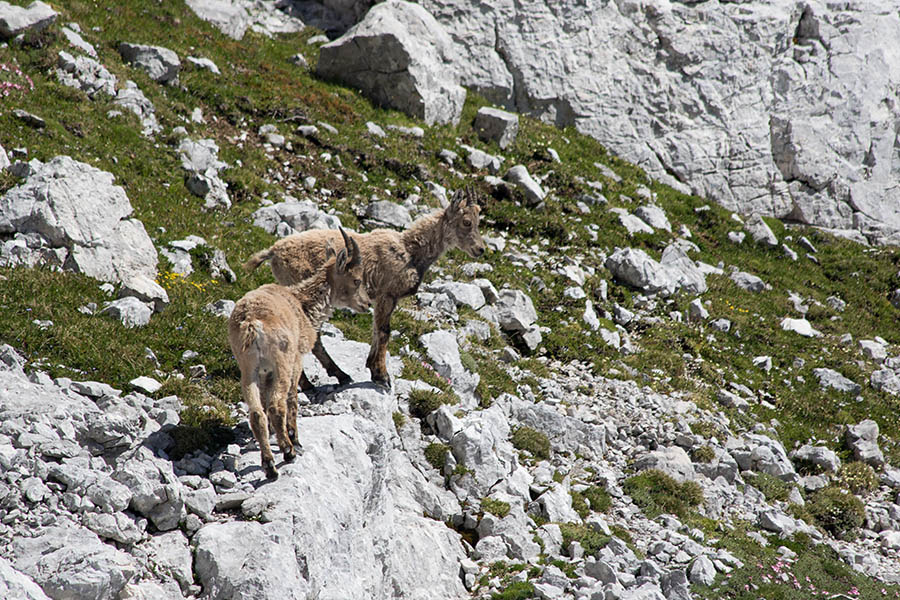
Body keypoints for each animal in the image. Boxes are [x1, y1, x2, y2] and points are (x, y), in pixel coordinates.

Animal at [228, 229, 369, 478]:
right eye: (357, 280)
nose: (367, 303)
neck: (303, 303)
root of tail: (252, 324)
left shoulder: (264, 373)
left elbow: (264, 403)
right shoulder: (296, 359)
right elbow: (292, 399)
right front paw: (294, 437)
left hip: (248, 368)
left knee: (256, 413)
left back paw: (269, 464)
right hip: (282, 362)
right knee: (277, 406)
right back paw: (288, 451)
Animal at [244, 187, 486, 387]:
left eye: (478, 219)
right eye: (466, 221)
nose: (481, 250)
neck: (410, 251)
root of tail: (274, 251)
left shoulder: (381, 298)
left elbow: (376, 330)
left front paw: (372, 367)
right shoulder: (387, 294)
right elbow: (384, 331)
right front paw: (381, 375)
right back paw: (323, 379)